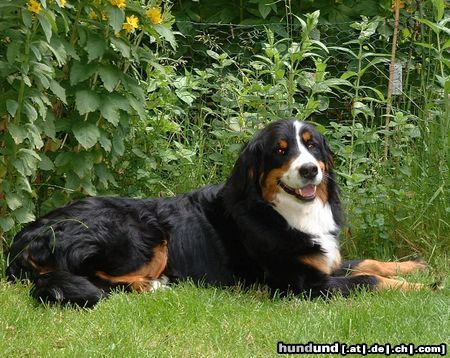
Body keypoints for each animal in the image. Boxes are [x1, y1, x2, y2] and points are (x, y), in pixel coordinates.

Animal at [7, 119, 428, 306]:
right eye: (280, 150)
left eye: (311, 146)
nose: (310, 170)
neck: (280, 211)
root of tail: (28, 236)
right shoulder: (299, 284)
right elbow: (368, 280)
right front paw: (423, 288)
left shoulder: (324, 260)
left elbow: (368, 262)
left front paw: (415, 267)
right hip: (143, 235)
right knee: (98, 280)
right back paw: (156, 285)